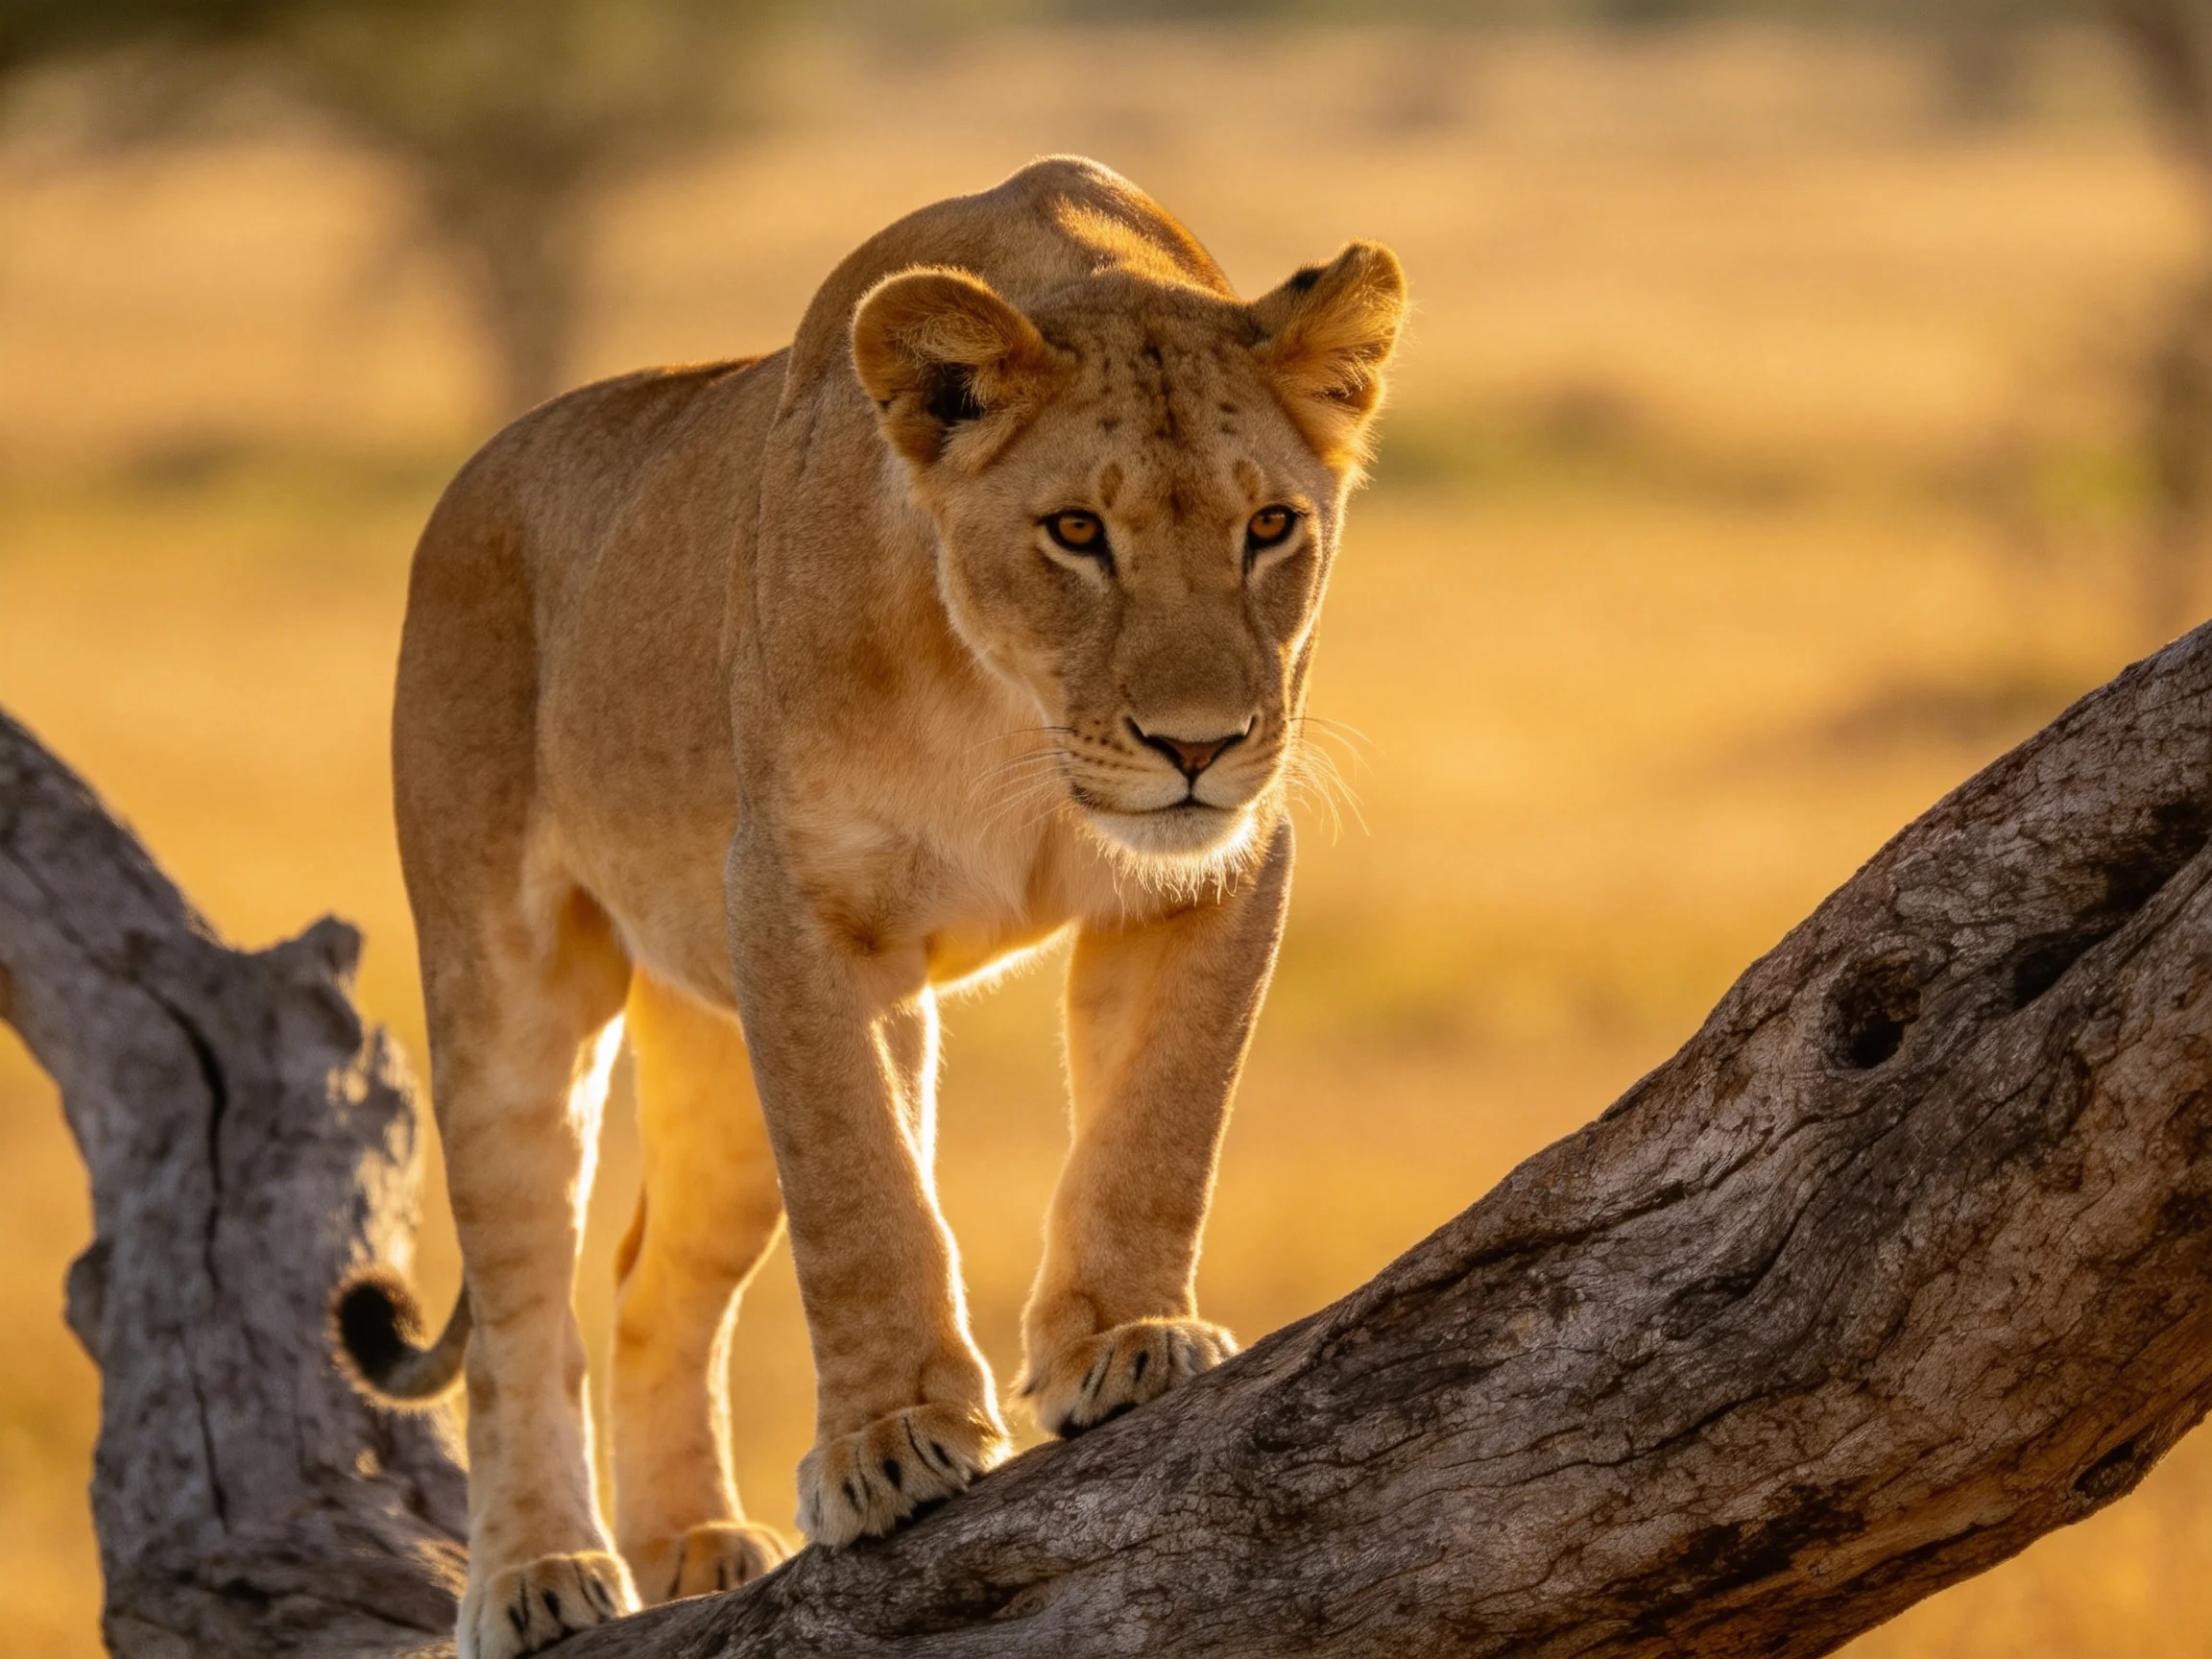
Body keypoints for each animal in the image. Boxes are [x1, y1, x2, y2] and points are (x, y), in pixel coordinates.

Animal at [331, 155, 1405, 1659]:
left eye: (1270, 528)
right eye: (1078, 532)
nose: (1196, 746)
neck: (1007, 712)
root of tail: (476, 474)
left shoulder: (1212, 866)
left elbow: (1161, 1120)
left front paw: (1124, 1341)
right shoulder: (797, 903)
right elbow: (861, 1188)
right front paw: (890, 1441)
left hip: (718, 1047)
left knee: (652, 1286)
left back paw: (694, 1545)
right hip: (506, 975)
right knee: (522, 1297)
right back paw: (539, 1574)